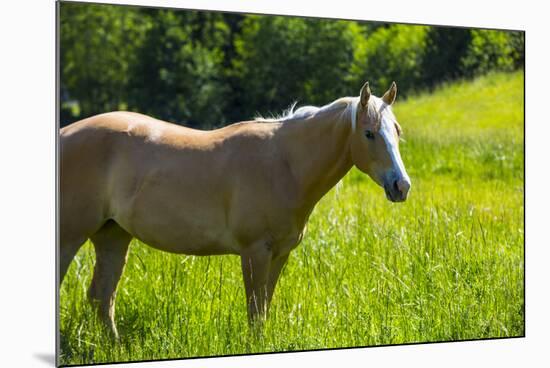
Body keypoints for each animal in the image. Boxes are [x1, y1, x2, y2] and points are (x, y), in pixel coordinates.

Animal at [61, 82, 410, 338]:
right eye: (369, 133)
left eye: (397, 131)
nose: (401, 186)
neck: (284, 164)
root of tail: (64, 134)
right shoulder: (254, 252)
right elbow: (255, 312)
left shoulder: (279, 254)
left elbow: (264, 308)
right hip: (70, 238)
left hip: (113, 236)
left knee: (101, 297)